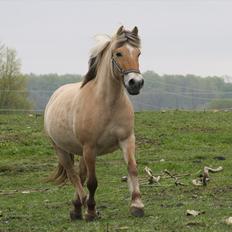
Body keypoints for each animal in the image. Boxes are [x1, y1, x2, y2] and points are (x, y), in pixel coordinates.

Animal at [43, 25, 144, 221]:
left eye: (138, 53)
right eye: (118, 53)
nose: (136, 83)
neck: (107, 103)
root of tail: (55, 95)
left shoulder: (127, 140)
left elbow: (132, 169)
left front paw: (137, 205)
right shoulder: (90, 147)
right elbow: (92, 182)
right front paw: (90, 210)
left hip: (81, 152)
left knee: (80, 175)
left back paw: (76, 208)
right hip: (62, 150)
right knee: (74, 176)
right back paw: (84, 206)